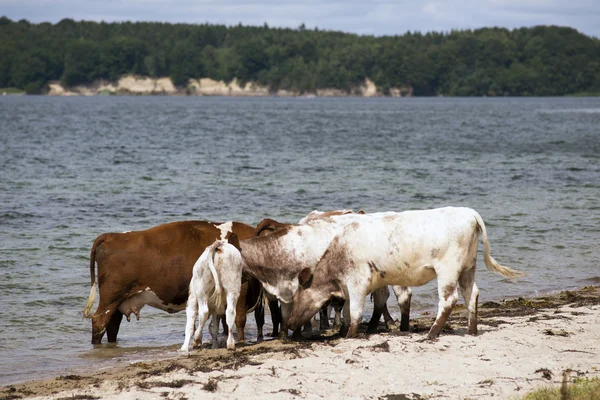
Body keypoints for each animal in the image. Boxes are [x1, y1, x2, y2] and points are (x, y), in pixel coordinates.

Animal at [82, 220, 258, 346]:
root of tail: (111, 236)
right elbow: (237, 318)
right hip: (110, 299)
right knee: (99, 323)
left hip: (117, 302)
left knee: (112, 326)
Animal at [286, 208, 524, 340]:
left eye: (296, 296)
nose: (289, 323)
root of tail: (470, 213)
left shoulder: (357, 282)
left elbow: (355, 311)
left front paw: (350, 335)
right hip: (468, 268)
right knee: (471, 294)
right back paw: (472, 330)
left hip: (448, 270)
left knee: (449, 300)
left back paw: (431, 334)